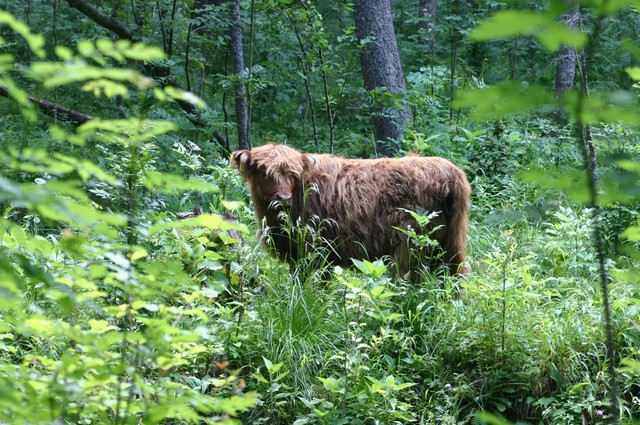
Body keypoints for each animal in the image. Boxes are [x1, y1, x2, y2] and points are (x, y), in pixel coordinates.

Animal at [230, 144, 470, 280]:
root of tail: (453, 173)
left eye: (293, 174)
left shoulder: (313, 249)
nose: (283, 198)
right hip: (452, 242)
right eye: (263, 172)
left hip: (412, 243)